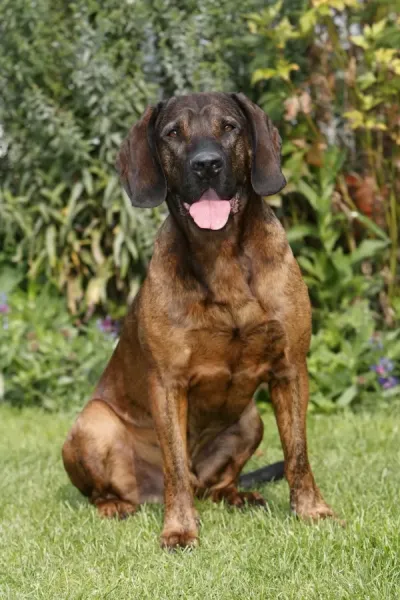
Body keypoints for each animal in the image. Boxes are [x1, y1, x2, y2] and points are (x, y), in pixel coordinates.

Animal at [62, 92, 335, 550]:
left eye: (229, 127)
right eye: (174, 133)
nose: (207, 164)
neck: (220, 252)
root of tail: (147, 494)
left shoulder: (291, 368)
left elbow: (298, 453)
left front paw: (312, 511)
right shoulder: (167, 382)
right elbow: (175, 466)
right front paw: (179, 529)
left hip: (250, 420)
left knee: (214, 484)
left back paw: (237, 496)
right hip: (91, 425)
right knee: (133, 487)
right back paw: (115, 505)